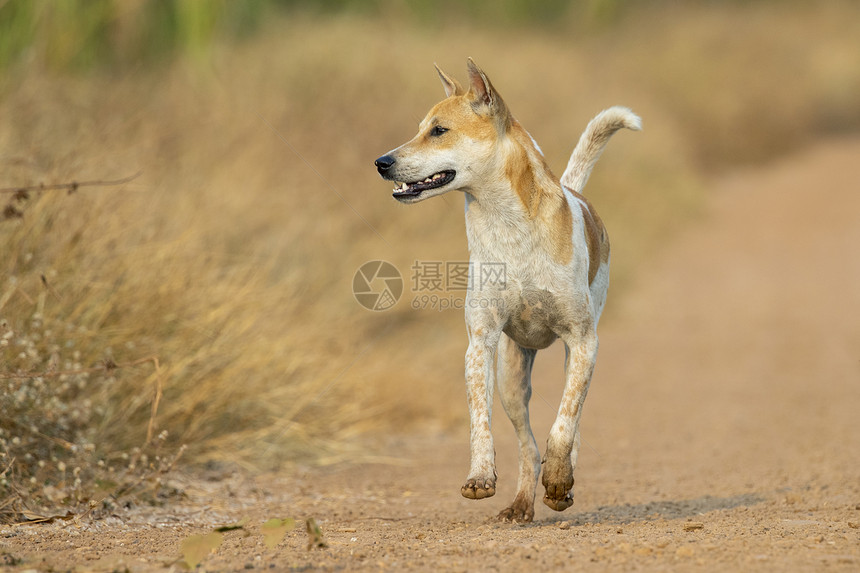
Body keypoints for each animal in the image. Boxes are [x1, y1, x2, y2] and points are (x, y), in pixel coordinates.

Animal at [372, 59, 640, 524]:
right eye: (420, 128)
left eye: (439, 130)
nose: (381, 162)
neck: (507, 226)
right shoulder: (480, 343)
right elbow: (480, 419)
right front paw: (480, 477)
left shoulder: (584, 340)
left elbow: (565, 422)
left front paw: (559, 477)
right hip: (512, 380)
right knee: (526, 444)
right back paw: (520, 504)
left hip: (574, 354)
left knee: (569, 422)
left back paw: (560, 483)